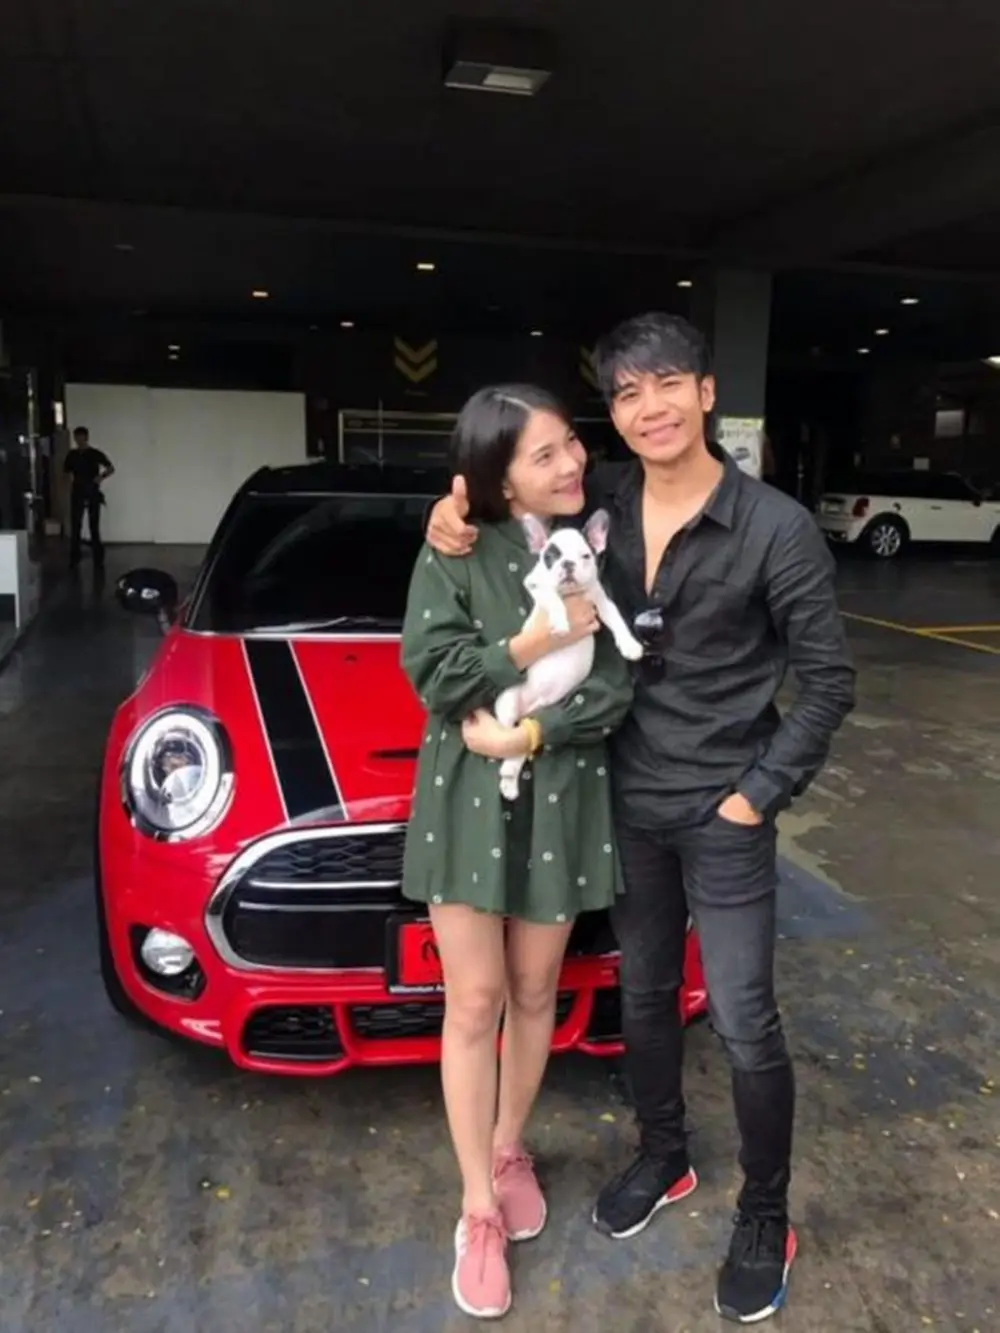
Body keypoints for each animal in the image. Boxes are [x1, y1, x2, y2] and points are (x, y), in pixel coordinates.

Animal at [494, 510, 643, 800]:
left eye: (585, 556)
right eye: (551, 555)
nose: (568, 564)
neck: (572, 594)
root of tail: (529, 709)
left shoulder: (600, 598)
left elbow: (616, 618)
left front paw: (629, 645)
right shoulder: (536, 584)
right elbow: (553, 597)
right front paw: (561, 623)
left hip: (540, 715)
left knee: (520, 744)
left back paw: (509, 780)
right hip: (507, 704)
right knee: (507, 741)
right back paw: (507, 774)